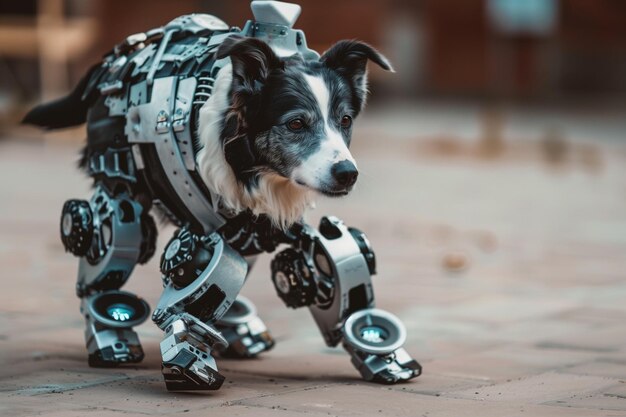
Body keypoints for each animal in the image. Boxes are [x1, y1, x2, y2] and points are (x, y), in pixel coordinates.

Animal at [26, 1, 422, 388]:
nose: (347, 174)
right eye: (296, 123)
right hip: (120, 188)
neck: (256, 171)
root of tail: (111, 63)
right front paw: (189, 360)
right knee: (112, 246)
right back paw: (112, 340)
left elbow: (331, 255)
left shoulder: (274, 223)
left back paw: (240, 331)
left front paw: (385, 357)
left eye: (345, 120)